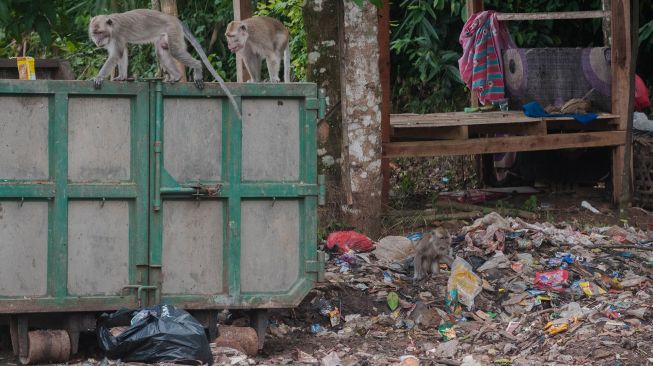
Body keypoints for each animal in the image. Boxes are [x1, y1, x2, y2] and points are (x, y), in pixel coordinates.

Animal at [86, 8, 239, 118]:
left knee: (176, 51)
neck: (111, 28)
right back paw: (176, 76)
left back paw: (197, 68)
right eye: (94, 33)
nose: (97, 41)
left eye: (100, 33)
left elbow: (115, 55)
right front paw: (122, 77)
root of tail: (173, 18)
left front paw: (99, 77)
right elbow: (122, 53)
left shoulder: (117, 34)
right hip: (165, 35)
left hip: (172, 30)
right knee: (162, 50)